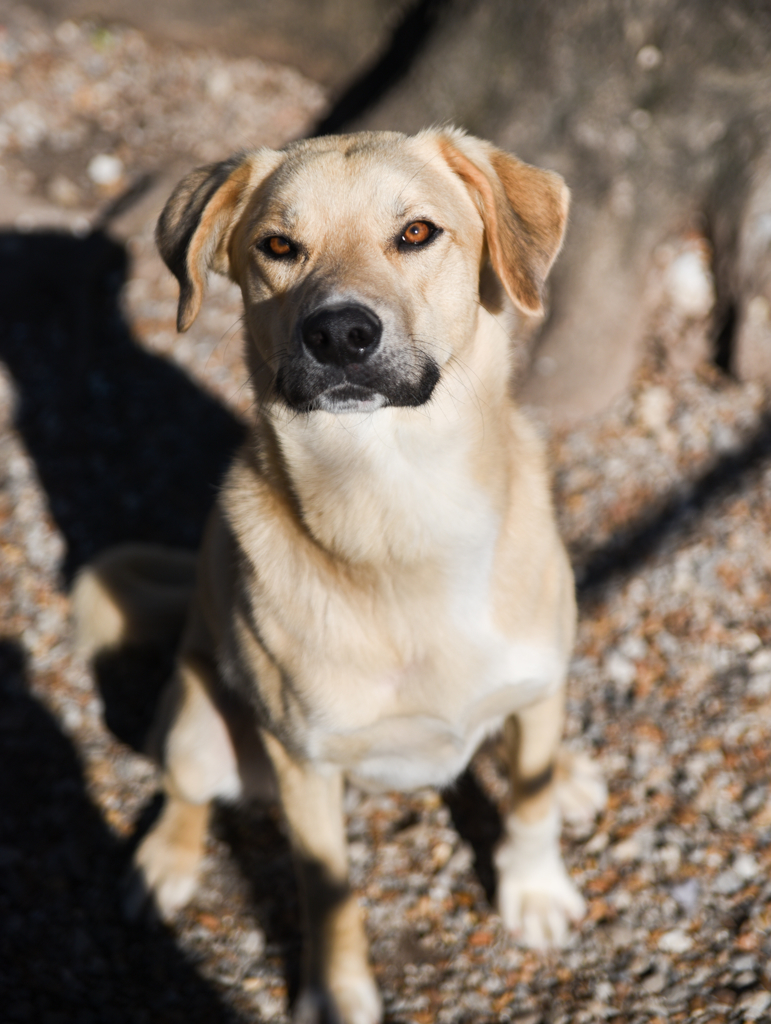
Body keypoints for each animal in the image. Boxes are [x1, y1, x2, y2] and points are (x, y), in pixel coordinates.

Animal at [73, 128, 602, 1024]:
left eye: (416, 233)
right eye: (277, 247)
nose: (341, 334)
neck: (401, 514)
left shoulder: (537, 687)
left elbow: (526, 804)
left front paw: (532, 890)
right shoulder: (305, 766)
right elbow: (327, 891)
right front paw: (335, 991)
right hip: (198, 724)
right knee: (182, 791)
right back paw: (165, 865)